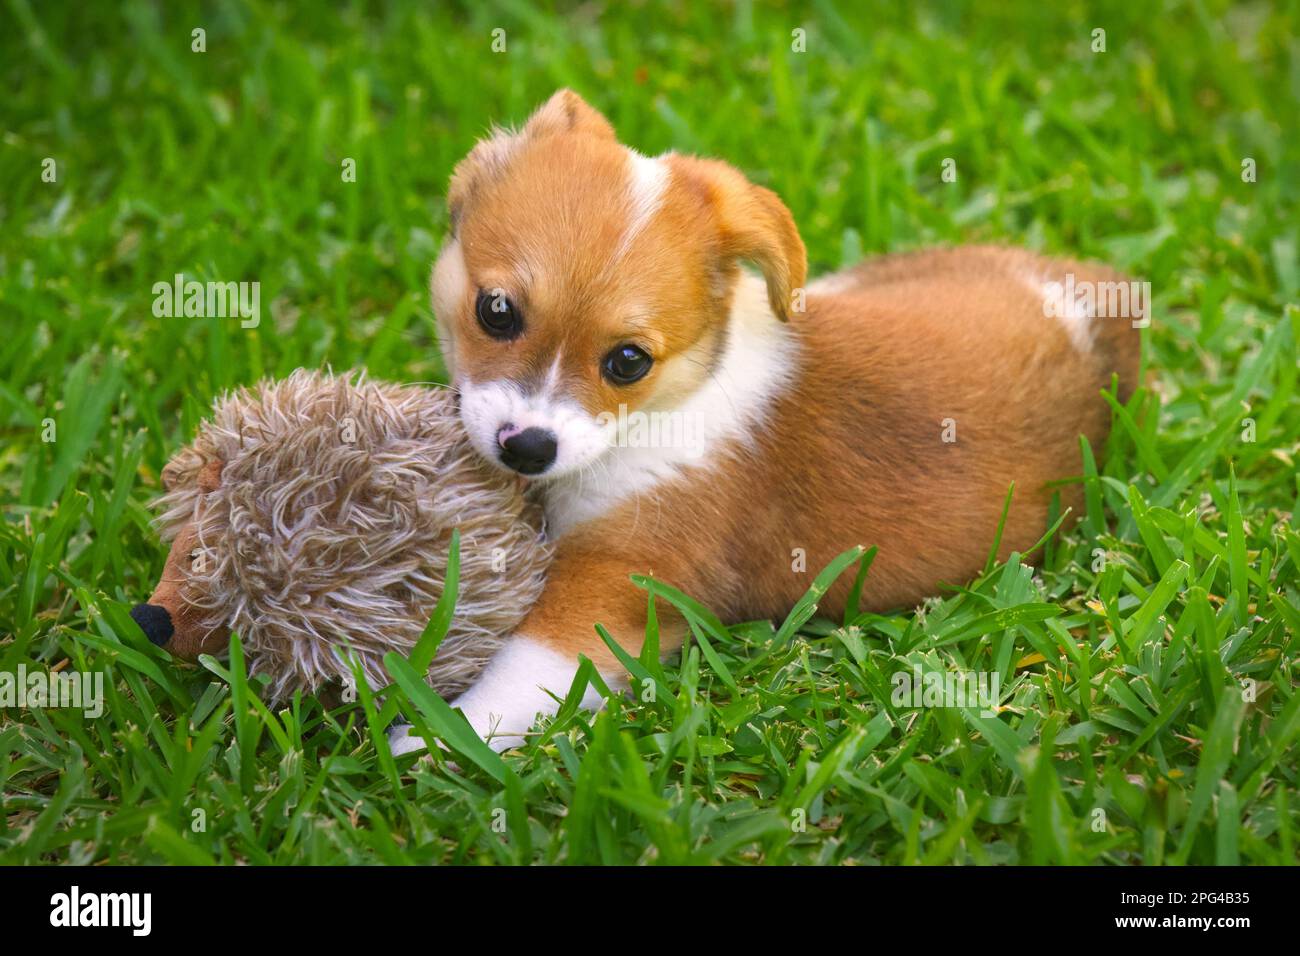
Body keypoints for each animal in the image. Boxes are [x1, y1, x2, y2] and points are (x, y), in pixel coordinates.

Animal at [387, 89, 1138, 754]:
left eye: (628, 361)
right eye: (496, 311)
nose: (528, 449)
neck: (672, 403)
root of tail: (1097, 304)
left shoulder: (620, 578)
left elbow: (518, 674)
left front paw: (431, 739)